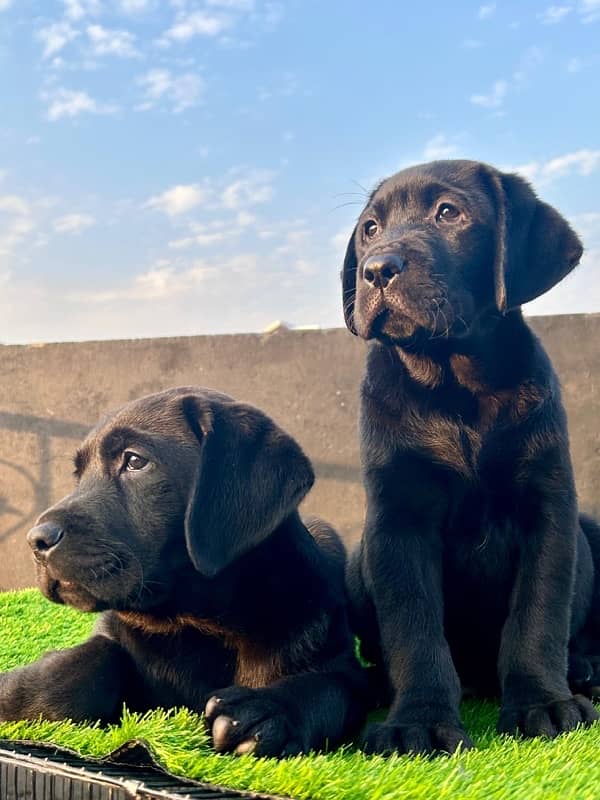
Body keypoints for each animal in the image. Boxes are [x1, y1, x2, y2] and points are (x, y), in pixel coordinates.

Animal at [0, 388, 368, 756]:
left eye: (135, 461)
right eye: (78, 475)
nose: (36, 540)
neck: (193, 625)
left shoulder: (342, 666)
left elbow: (326, 687)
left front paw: (265, 712)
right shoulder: (110, 635)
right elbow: (87, 661)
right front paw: (15, 694)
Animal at [342, 161, 600, 756]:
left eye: (448, 213)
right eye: (370, 228)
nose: (376, 269)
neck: (456, 383)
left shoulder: (548, 509)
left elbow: (538, 615)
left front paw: (542, 704)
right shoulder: (399, 519)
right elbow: (415, 629)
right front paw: (418, 720)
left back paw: (583, 668)